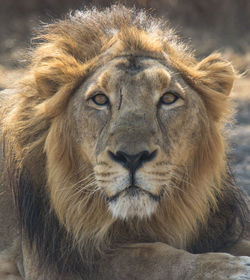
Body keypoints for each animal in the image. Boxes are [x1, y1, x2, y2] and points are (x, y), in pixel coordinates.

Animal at [0, 4, 250, 280]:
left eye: (169, 98)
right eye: (99, 99)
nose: (132, 158)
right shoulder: (60, 261)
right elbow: (149, 256)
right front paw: (231, 267)